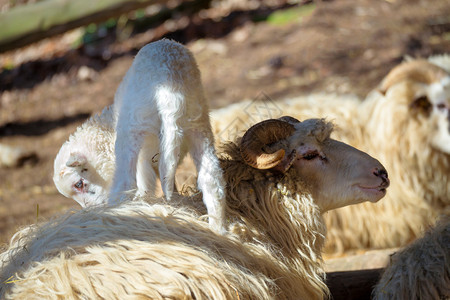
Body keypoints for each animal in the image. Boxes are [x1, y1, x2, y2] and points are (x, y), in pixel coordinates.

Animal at [53, 38, 229, 232]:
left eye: (79, 184)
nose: (92, 210)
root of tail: (170, 86)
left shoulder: (143, 160)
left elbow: (145, 188)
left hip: (134, 129)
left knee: (126, 185)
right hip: (198, 122)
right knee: (212, 181)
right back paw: (218, 230)